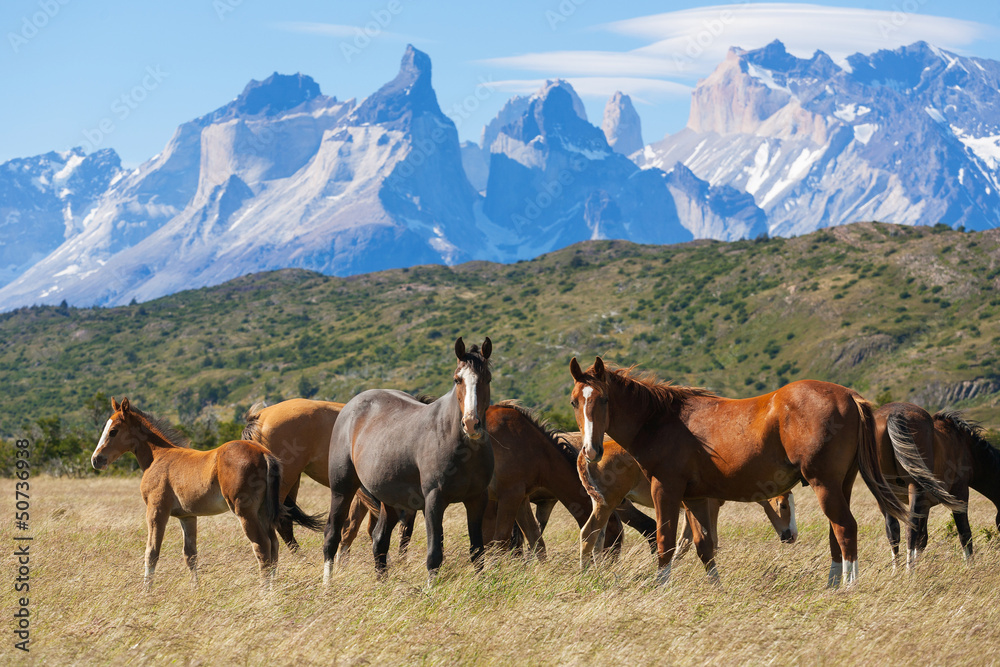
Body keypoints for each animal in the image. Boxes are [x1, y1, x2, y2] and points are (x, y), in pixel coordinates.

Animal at [324, 340, 496, 584]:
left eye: (487, 379)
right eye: (457, 379)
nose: (471, 423)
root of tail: (350, 407)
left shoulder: (476, 499)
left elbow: (477, 551)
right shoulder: (434, 500)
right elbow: (434, 554)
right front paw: (431, 589)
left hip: (391, 501)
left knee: (379, 540)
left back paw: (383, 584)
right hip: (342, 489)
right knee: (332, 534)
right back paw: (327, 585)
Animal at [568, 434, 800, 568]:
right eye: (783, 505)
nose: (791, 536)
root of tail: (586, 455)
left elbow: (684, 542)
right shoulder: (710, 506)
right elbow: (710, 541)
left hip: (606, 505)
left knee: (598, 537)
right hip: (607, 503)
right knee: (588, 534)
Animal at [876, 404, 992, 568]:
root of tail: (895, 414)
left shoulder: (925, 507)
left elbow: (921, 539)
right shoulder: (960, 493)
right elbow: (964, 533)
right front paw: (970, 567)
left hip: (884, 492)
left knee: (893, 529)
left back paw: (896, 570)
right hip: (914, 487)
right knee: (909, 527)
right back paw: (909, 571)